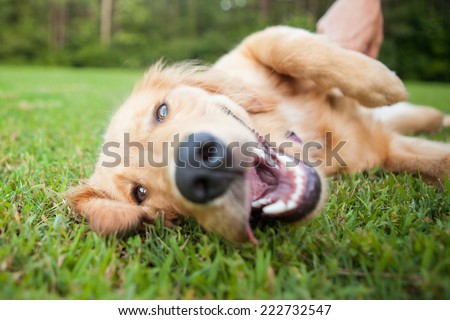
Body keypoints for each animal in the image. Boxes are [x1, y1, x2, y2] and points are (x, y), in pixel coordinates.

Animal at [67, 26, 450, 244]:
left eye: (161, 111)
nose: (200, 169)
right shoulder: (382, 151)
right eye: (140, 194)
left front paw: (379, 81)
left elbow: (285, 45)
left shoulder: (250, 49)